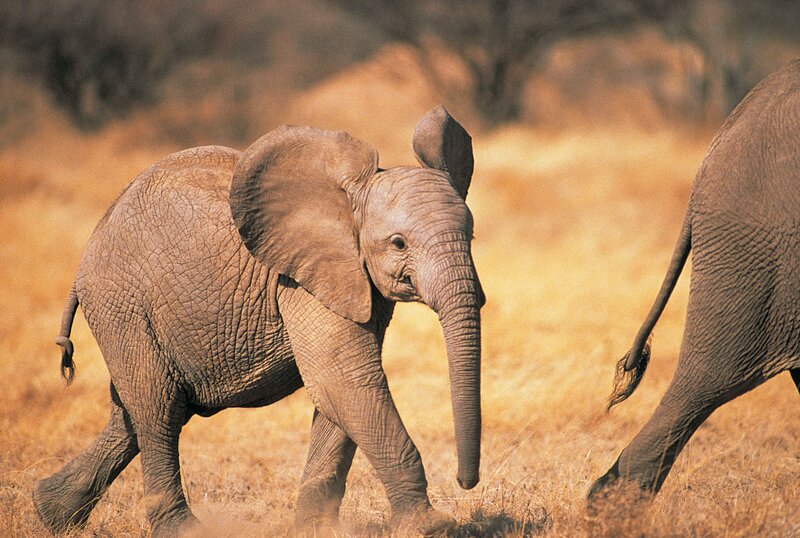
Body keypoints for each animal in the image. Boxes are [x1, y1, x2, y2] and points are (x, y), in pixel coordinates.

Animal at [33, 105, 485, 537]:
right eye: (399, 243)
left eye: (471, 236)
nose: (465, 482)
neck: (347, 203)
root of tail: (87, 253)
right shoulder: (300, 278)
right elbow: (344, 377)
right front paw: (430, 527)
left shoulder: (353, 280)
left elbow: (341, 390)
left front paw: (314, 529)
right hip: (122, 305)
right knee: (157, 408)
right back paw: (181, 530)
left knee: (136, 412)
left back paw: (50, 513)